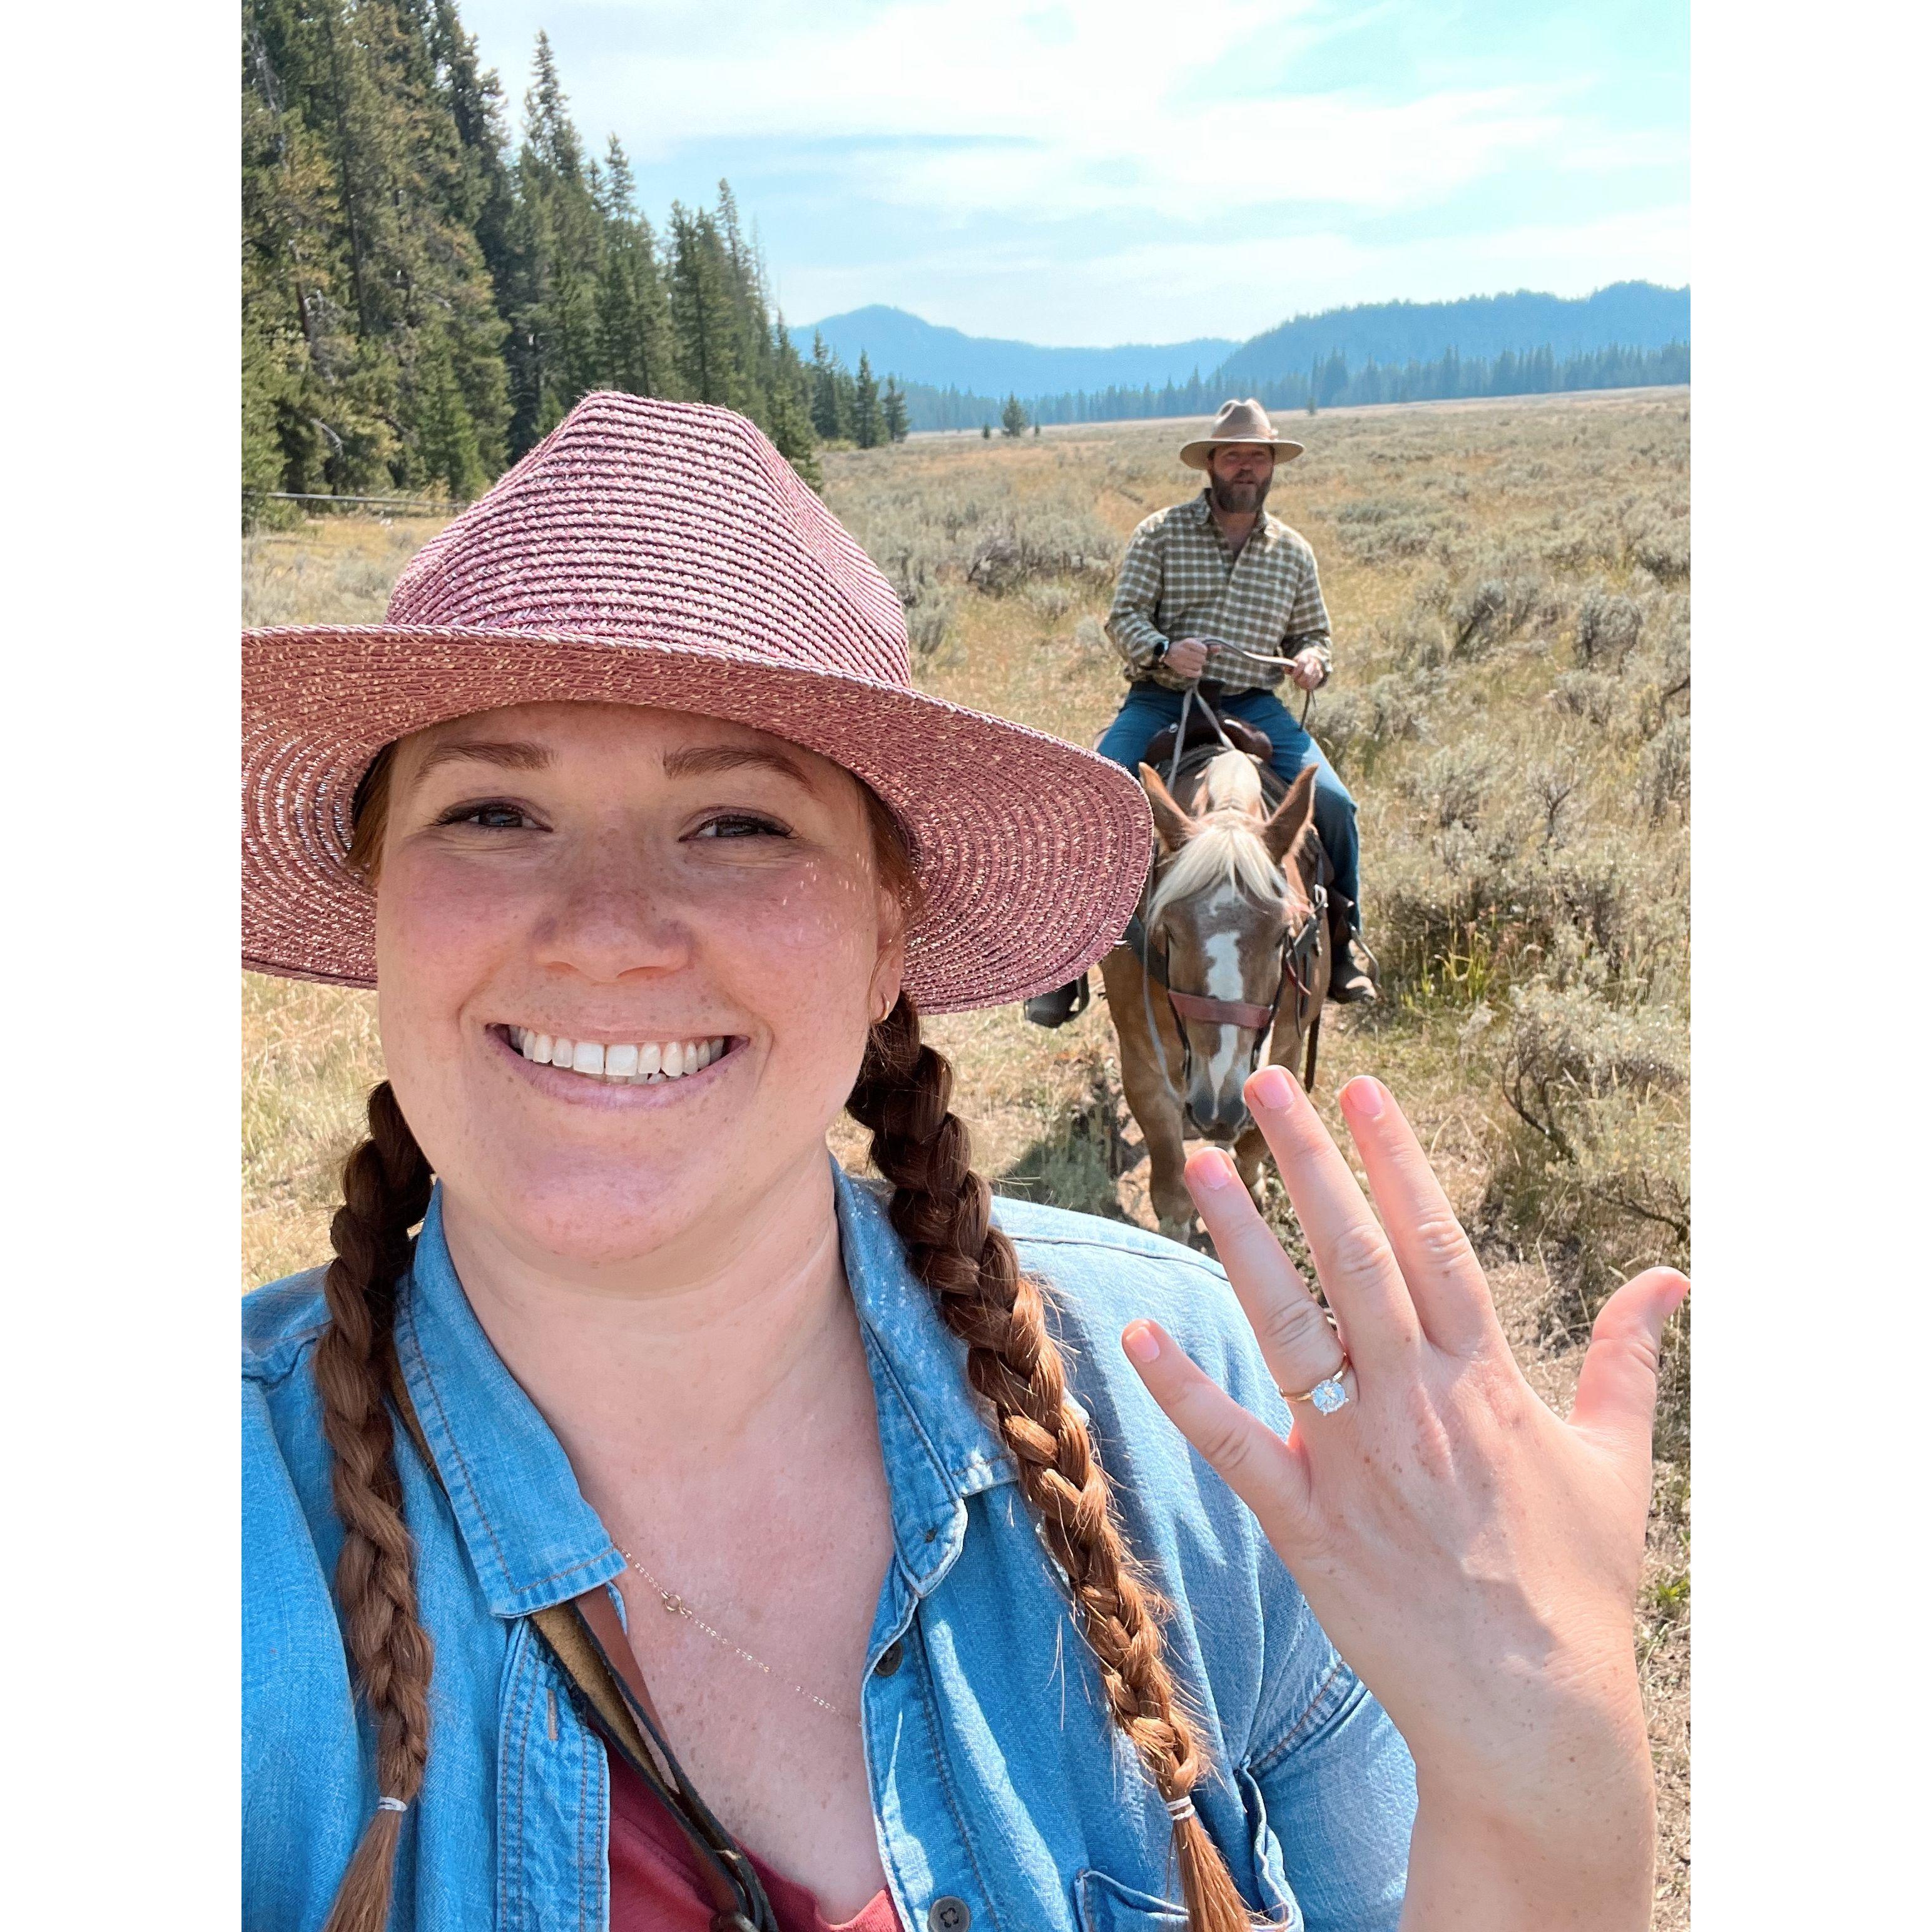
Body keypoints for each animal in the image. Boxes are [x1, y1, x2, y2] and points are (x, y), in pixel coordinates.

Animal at [1105, 738, 1329, 1236]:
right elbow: (1172, 1194)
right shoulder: (1144, 1071)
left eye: (1284, 935)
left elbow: (1255, 1144)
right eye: (1168, 932)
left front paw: (1252, 1186)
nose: (1216, 1111)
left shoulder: (1283, 1054)